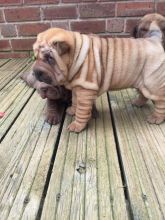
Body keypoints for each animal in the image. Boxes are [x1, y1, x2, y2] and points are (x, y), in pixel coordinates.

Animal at [32, 26, 165, 131]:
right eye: (36, 57)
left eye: (49, 58)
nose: (35, 72)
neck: (76, 55)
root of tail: (154, 40)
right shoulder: (77, 87)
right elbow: (75, 101)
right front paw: (72, 110)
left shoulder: (85, 91)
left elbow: (82, 110)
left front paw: (77, 126)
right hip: (142, 82)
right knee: (143, 94)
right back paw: (138, 103)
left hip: (152, 82)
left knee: (161, 101)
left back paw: (156, 118)